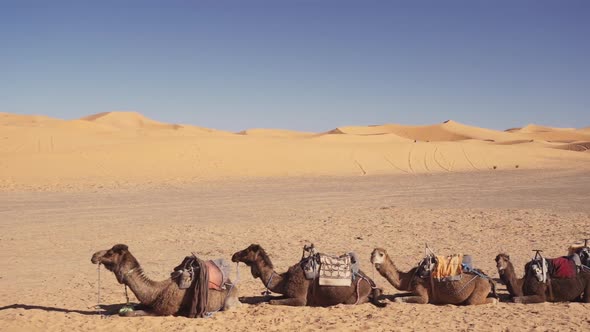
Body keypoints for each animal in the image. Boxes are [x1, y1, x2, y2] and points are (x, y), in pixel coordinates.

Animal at [92, 244, 240, 316]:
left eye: (110, 253)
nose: (94, 256)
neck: (156, 292)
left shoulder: (162, 311)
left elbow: (128, 314)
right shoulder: (147, 303)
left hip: (228, 303)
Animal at [231, 243, 388, 308]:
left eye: (246, 251)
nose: (234, 255)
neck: (283, 280)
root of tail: (370, 281)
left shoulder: (300, 299)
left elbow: (272, 301)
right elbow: (270, 297)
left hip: (355, 296)